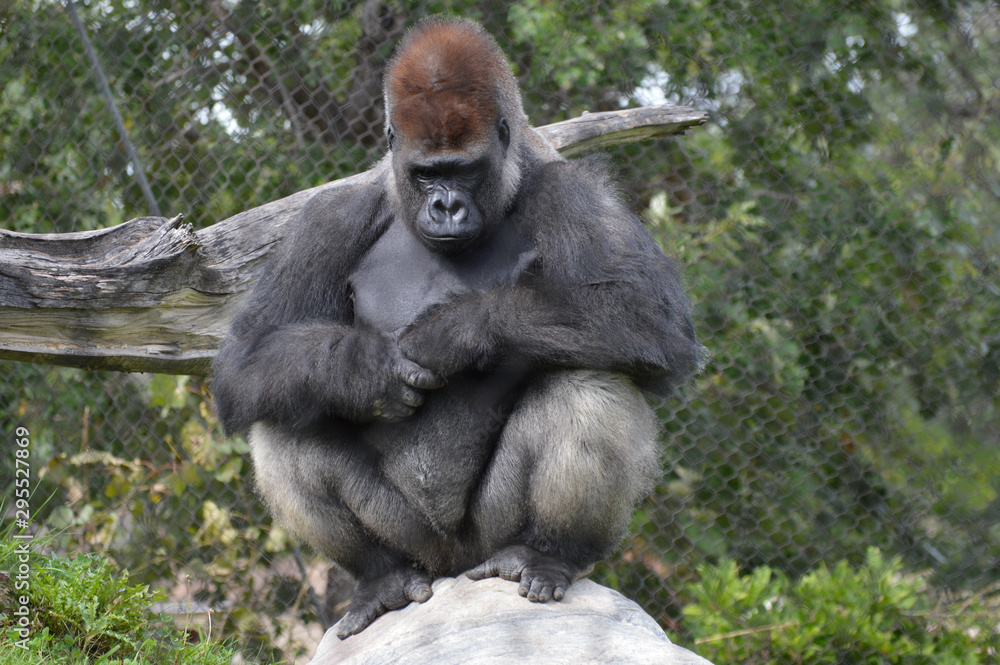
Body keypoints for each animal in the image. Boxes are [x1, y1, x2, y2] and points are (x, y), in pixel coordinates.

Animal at [211, 17, 700, 639]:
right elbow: (245, 359)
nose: (446, 207)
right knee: (282, 417)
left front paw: (455, 333)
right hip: (415, 541)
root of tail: (450, 568)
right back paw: (380, 577)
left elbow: (651, 317)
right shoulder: (327, 218)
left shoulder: (576, 193)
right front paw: (364, 371)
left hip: (486, 540)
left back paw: (547, 553)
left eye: (464, 169)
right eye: (426, 175)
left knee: (590, 382)